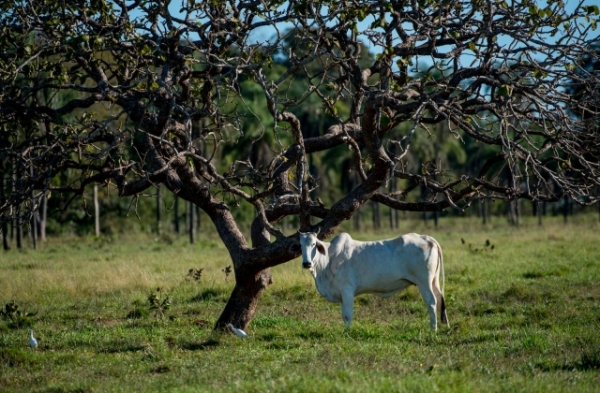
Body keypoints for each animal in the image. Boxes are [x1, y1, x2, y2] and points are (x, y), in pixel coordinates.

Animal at [298, 231, 448, 330]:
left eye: (313, 244)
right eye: (300, 246)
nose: (306, 263)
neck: (329, 258)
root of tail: (427, 238)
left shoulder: (347, 290)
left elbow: (347, 315)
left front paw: (347, 332)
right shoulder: (341, 294)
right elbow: (343, 315)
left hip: (424, 282)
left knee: (432, 302)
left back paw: (433, 329)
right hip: (434, 281)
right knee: (440, 299)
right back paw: (445, 326)